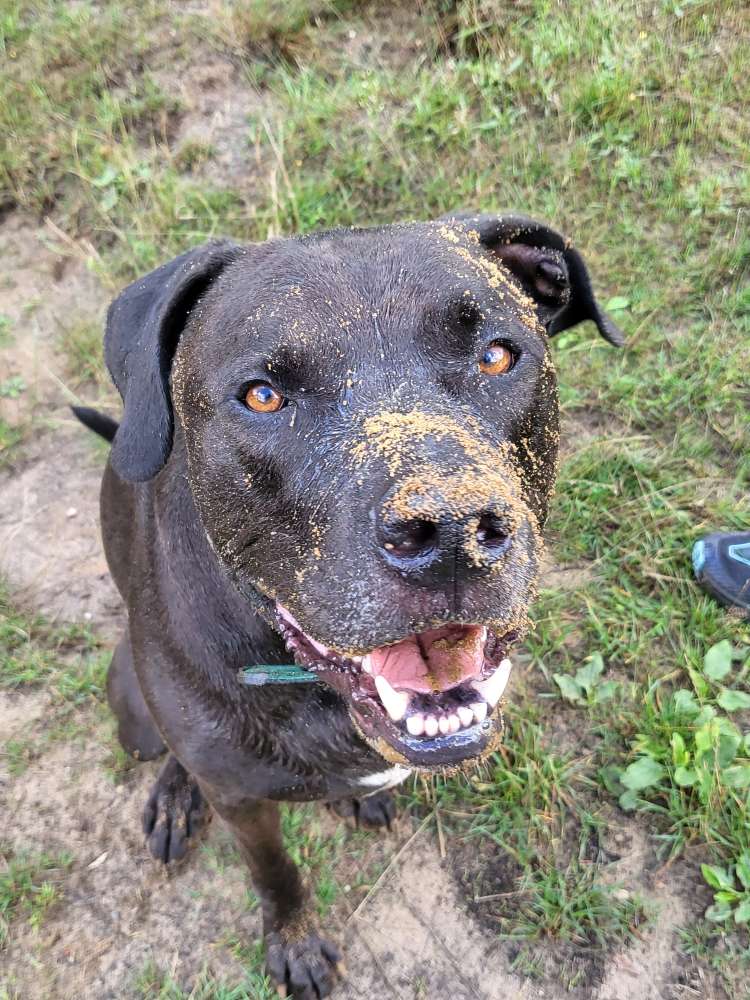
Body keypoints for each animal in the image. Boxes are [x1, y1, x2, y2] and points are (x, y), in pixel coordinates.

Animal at [75, 215, 624, 996]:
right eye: (262, 396)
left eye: (496, 355)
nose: (449, 531)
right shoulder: (243, 805)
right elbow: (274, 873)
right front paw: (295, 941)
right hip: (134, 709)